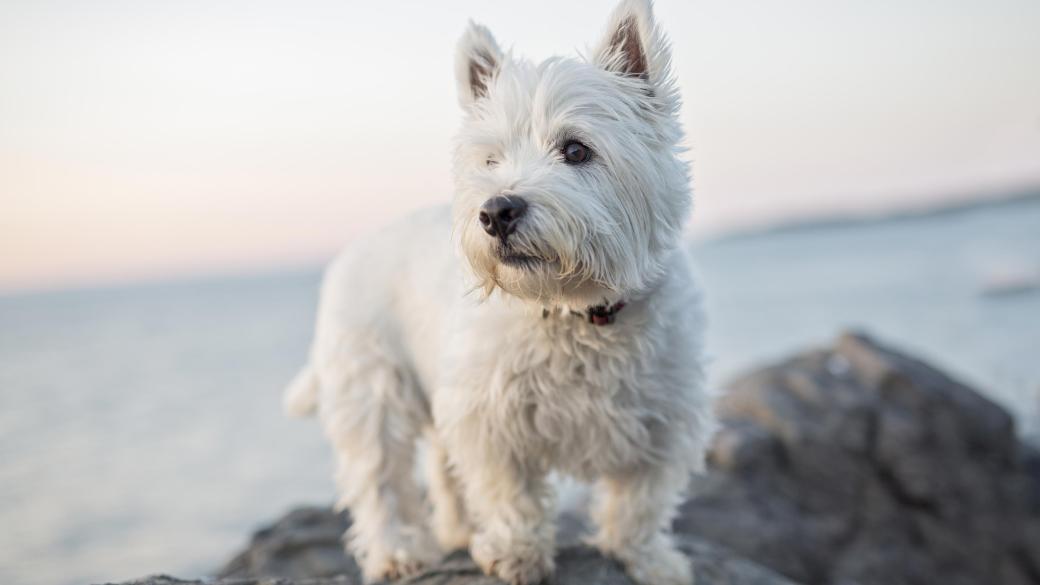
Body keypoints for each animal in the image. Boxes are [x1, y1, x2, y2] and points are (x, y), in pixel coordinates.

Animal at [284, 2, 715, 578]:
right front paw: (516, 554)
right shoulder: (488, 417)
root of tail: (350, 253)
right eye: (490, 160)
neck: (573, 311)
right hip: (372, 387)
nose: (496, 211)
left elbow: (641, 501)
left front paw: (648, 559)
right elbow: (510, 493)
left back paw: (458, 532)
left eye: (576, 149)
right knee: (380, 479)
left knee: (439, 471)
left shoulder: (665, 418)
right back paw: (398, 554)